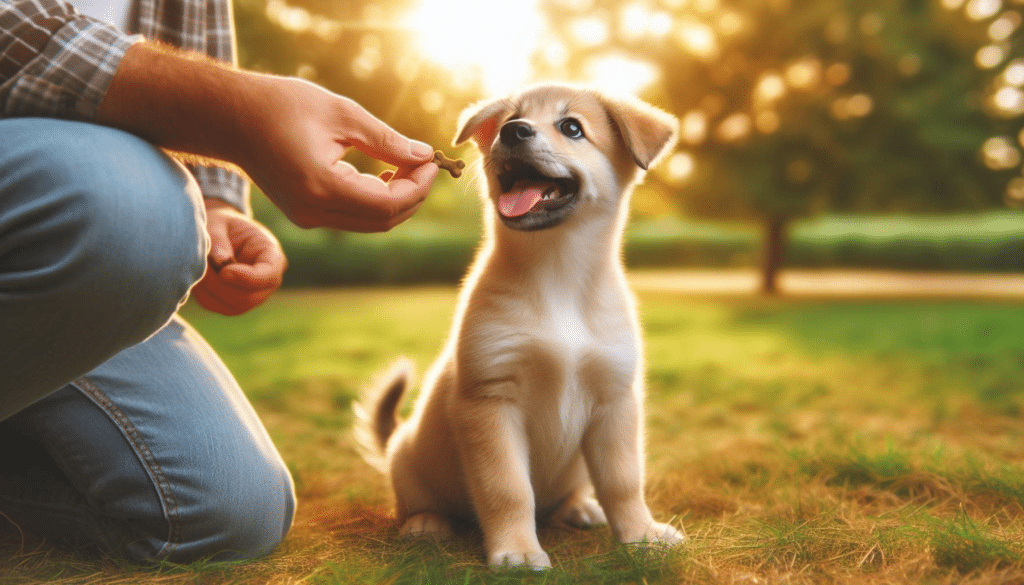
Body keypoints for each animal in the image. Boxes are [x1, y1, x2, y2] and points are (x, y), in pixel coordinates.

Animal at [356, 84, 684, 569]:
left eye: (572, 127)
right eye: (511, 119)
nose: (512, 131)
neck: (557, 276)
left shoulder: (614, 401)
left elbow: (624, 482)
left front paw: (641, 535)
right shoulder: (491, 402)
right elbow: (508, 489)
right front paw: (518, 550)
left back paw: (579, 508)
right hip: (408, 458)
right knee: (418, 500)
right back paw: (426, 522)